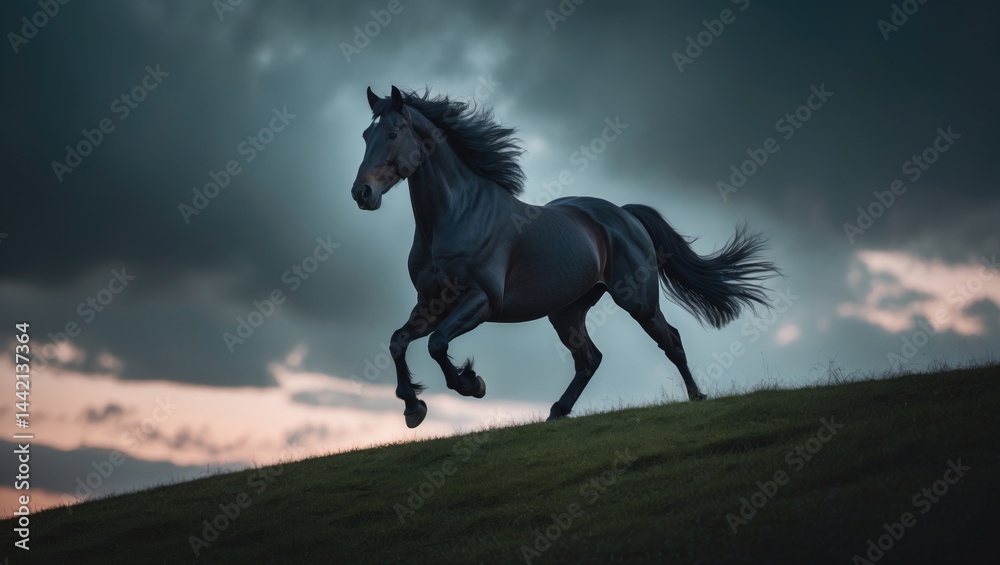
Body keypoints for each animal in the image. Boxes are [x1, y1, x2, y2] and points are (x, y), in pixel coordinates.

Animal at [351, 86, 778, 428]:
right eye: (366, 134)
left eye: (392, 133)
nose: (362, 193)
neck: (455, 216)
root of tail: (625, 213)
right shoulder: (430, 303)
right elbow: (398, 342)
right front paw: (413, 407)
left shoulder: (482, 300)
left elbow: (437, 344)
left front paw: (471, 384)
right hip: (566, 310)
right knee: (589, 358)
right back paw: (557, 411)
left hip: (637, 300)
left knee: (669, 339)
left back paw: (697, 397)